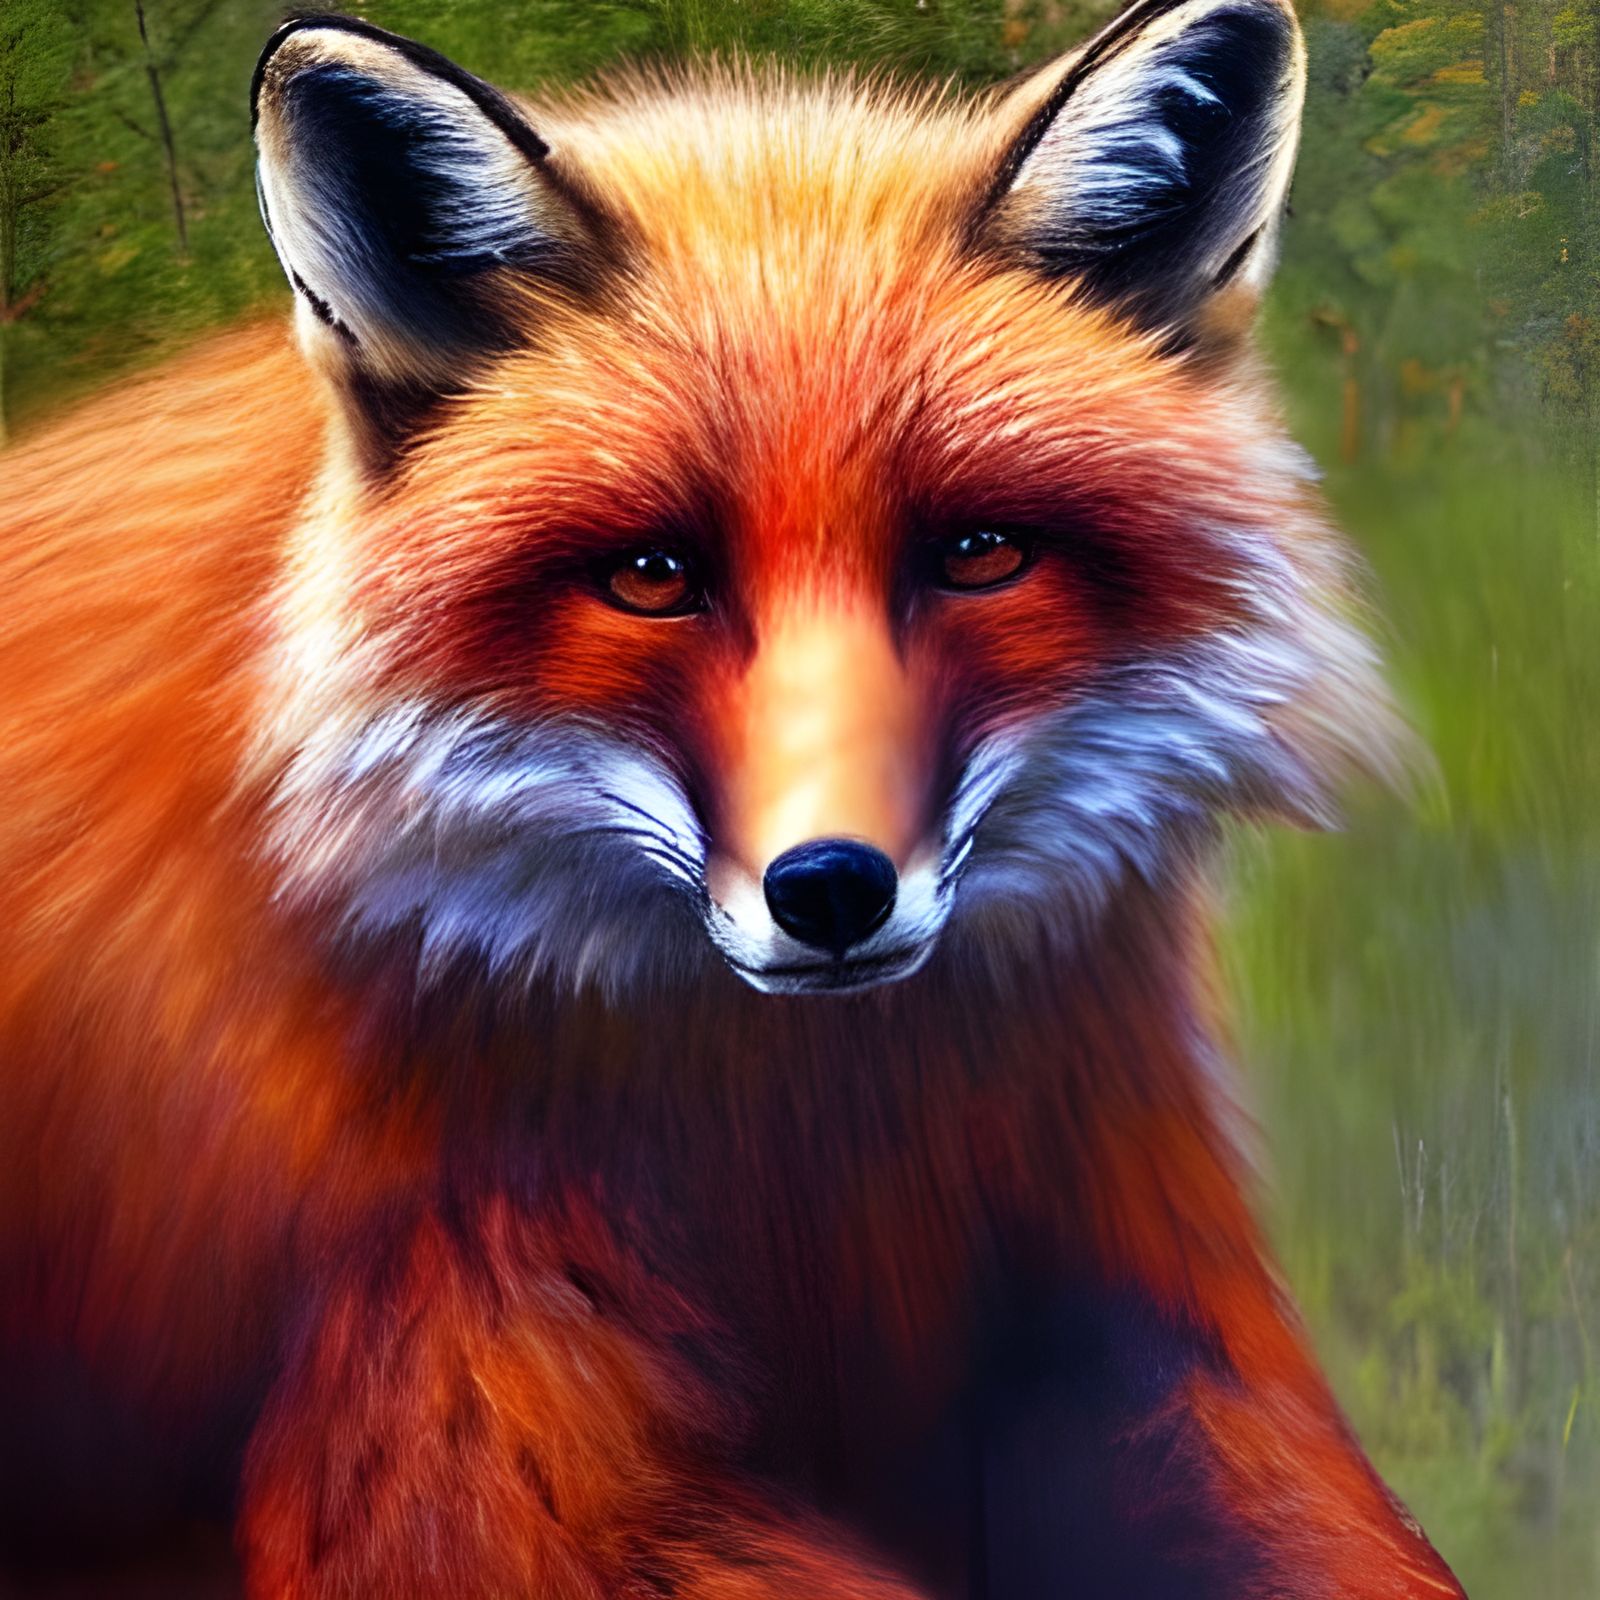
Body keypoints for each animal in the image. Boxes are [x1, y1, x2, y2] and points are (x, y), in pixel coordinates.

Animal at [0, 2, 1468, 1596]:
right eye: (653, 574)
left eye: (978, 553)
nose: (831, 889)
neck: (798, 1146)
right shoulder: (458, 1415)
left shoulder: (1128, 1297)